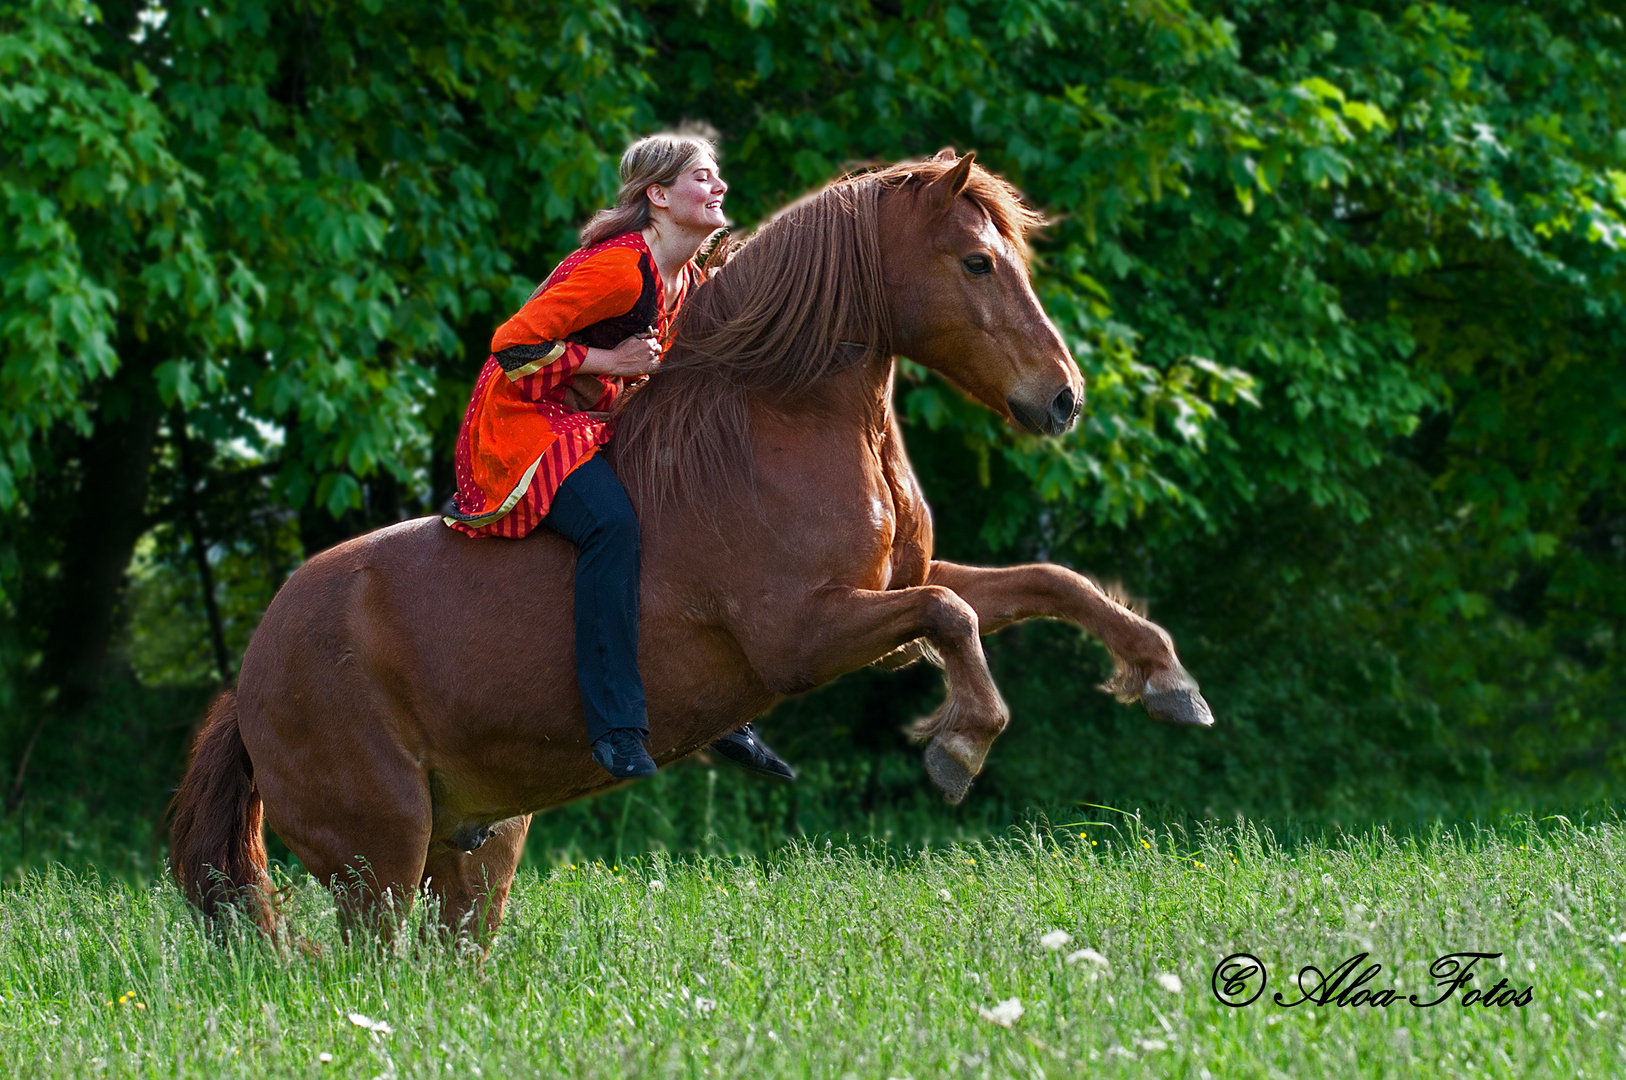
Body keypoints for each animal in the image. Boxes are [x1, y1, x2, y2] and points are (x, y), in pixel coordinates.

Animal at [171, 149, 1216, 936]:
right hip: (378, 856)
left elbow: (1048, 582)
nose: (1062, 397)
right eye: (975, 263)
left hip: (473, 848)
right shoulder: (801, 637)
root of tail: (249, 684)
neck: (774, 422)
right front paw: (958, 747)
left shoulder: (889, 599)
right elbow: (955, 615)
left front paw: (1168, 680)